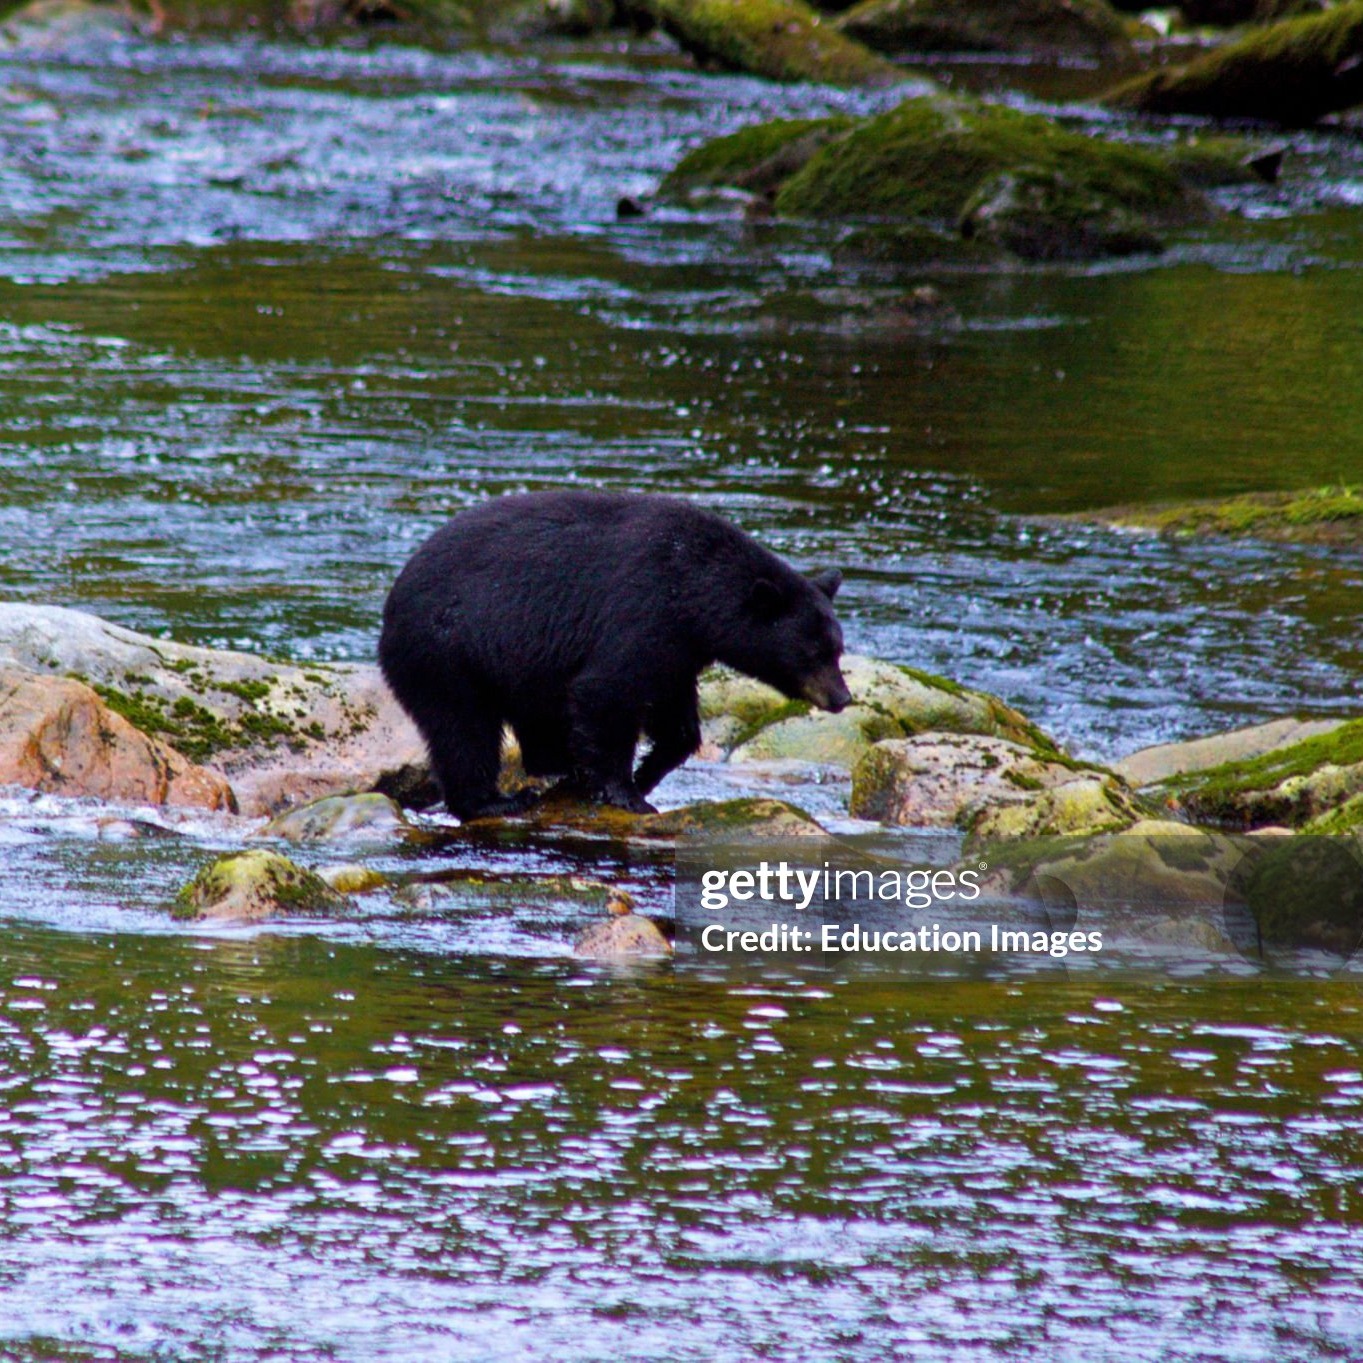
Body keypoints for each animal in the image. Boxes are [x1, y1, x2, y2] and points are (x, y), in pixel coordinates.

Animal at [378, 490, 851, 819]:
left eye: (838, 649)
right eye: (813, 652)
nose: (842, 697)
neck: (693, 590)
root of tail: (392, 602)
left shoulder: (679, 651)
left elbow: (675, 717)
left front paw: (646, 773)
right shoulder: (642, 612)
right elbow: (606, 692)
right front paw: (627, 792)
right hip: (447, 653)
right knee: (463, 730)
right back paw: (495, 800)